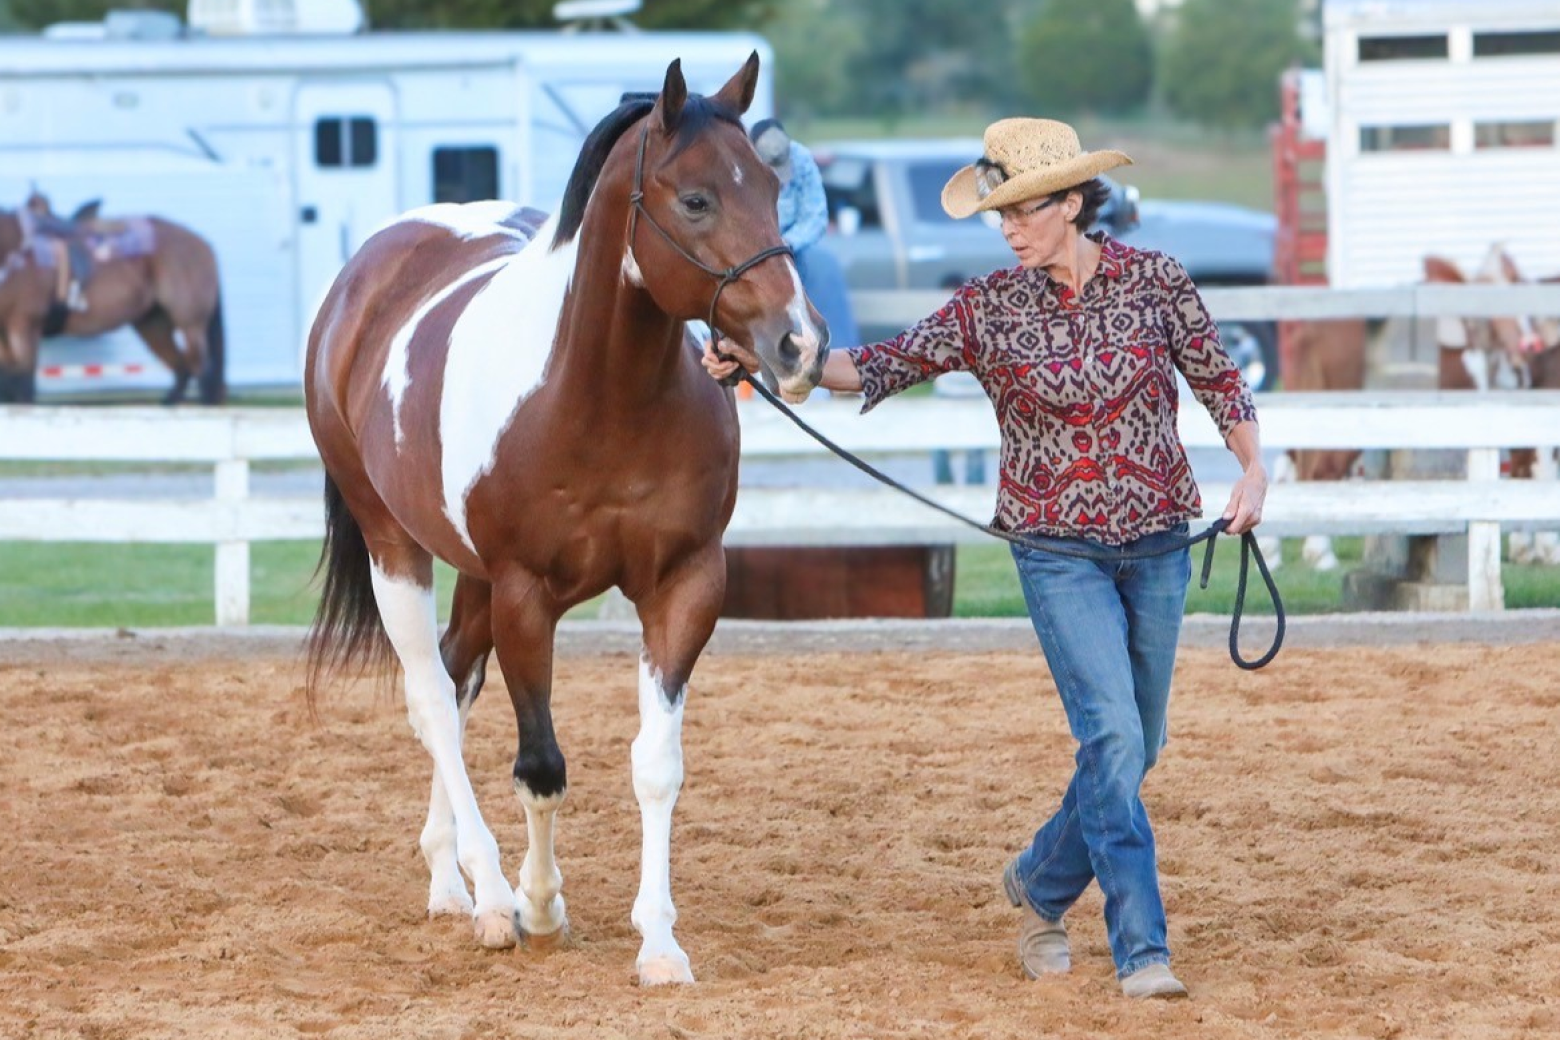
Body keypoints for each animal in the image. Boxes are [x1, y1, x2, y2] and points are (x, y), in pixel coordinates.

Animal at [0, 204, 225, 404]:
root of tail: (203, 244)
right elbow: (10, 383)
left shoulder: (25, 325)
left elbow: (24, 386)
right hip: (153, 326)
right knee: (183, 369)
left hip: (191, 325)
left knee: (202, 370)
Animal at [302, 55, 827, 985]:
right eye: (697, 199)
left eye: (771, 187)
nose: (799, 345)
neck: (597, 397)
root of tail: (366, 273)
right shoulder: (526, 596)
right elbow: (540, 766)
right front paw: (539, 905)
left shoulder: (685, 585)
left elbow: (656, 765)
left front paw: (659, 943)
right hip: (396, 547)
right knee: (433, 702)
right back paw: (488, 897)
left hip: (469, 576)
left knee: (454, 677)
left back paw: (448, 879)